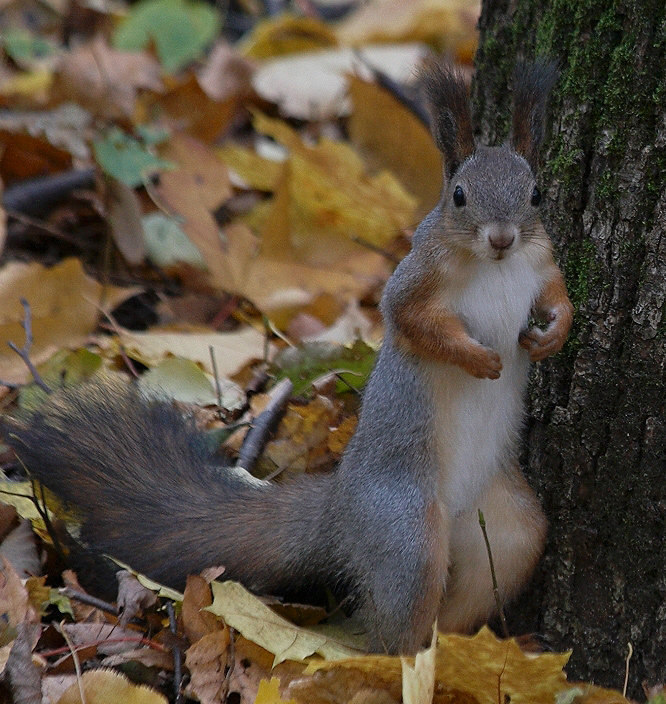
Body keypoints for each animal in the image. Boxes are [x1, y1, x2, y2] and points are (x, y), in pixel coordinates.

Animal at [2, 59, 572, 656]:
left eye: (536, 195)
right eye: (458, 195)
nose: (503, 238)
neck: (495, 266)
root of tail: (340, 510)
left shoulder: (541, 263)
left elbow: (559, 295)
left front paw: (552, 335)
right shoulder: (416, 280)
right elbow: (412, 322)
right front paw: (477, 358)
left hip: (508, 530)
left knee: (481, 583)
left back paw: (477, 651)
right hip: (409, 533)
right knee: (397, 623)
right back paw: (412, 663)